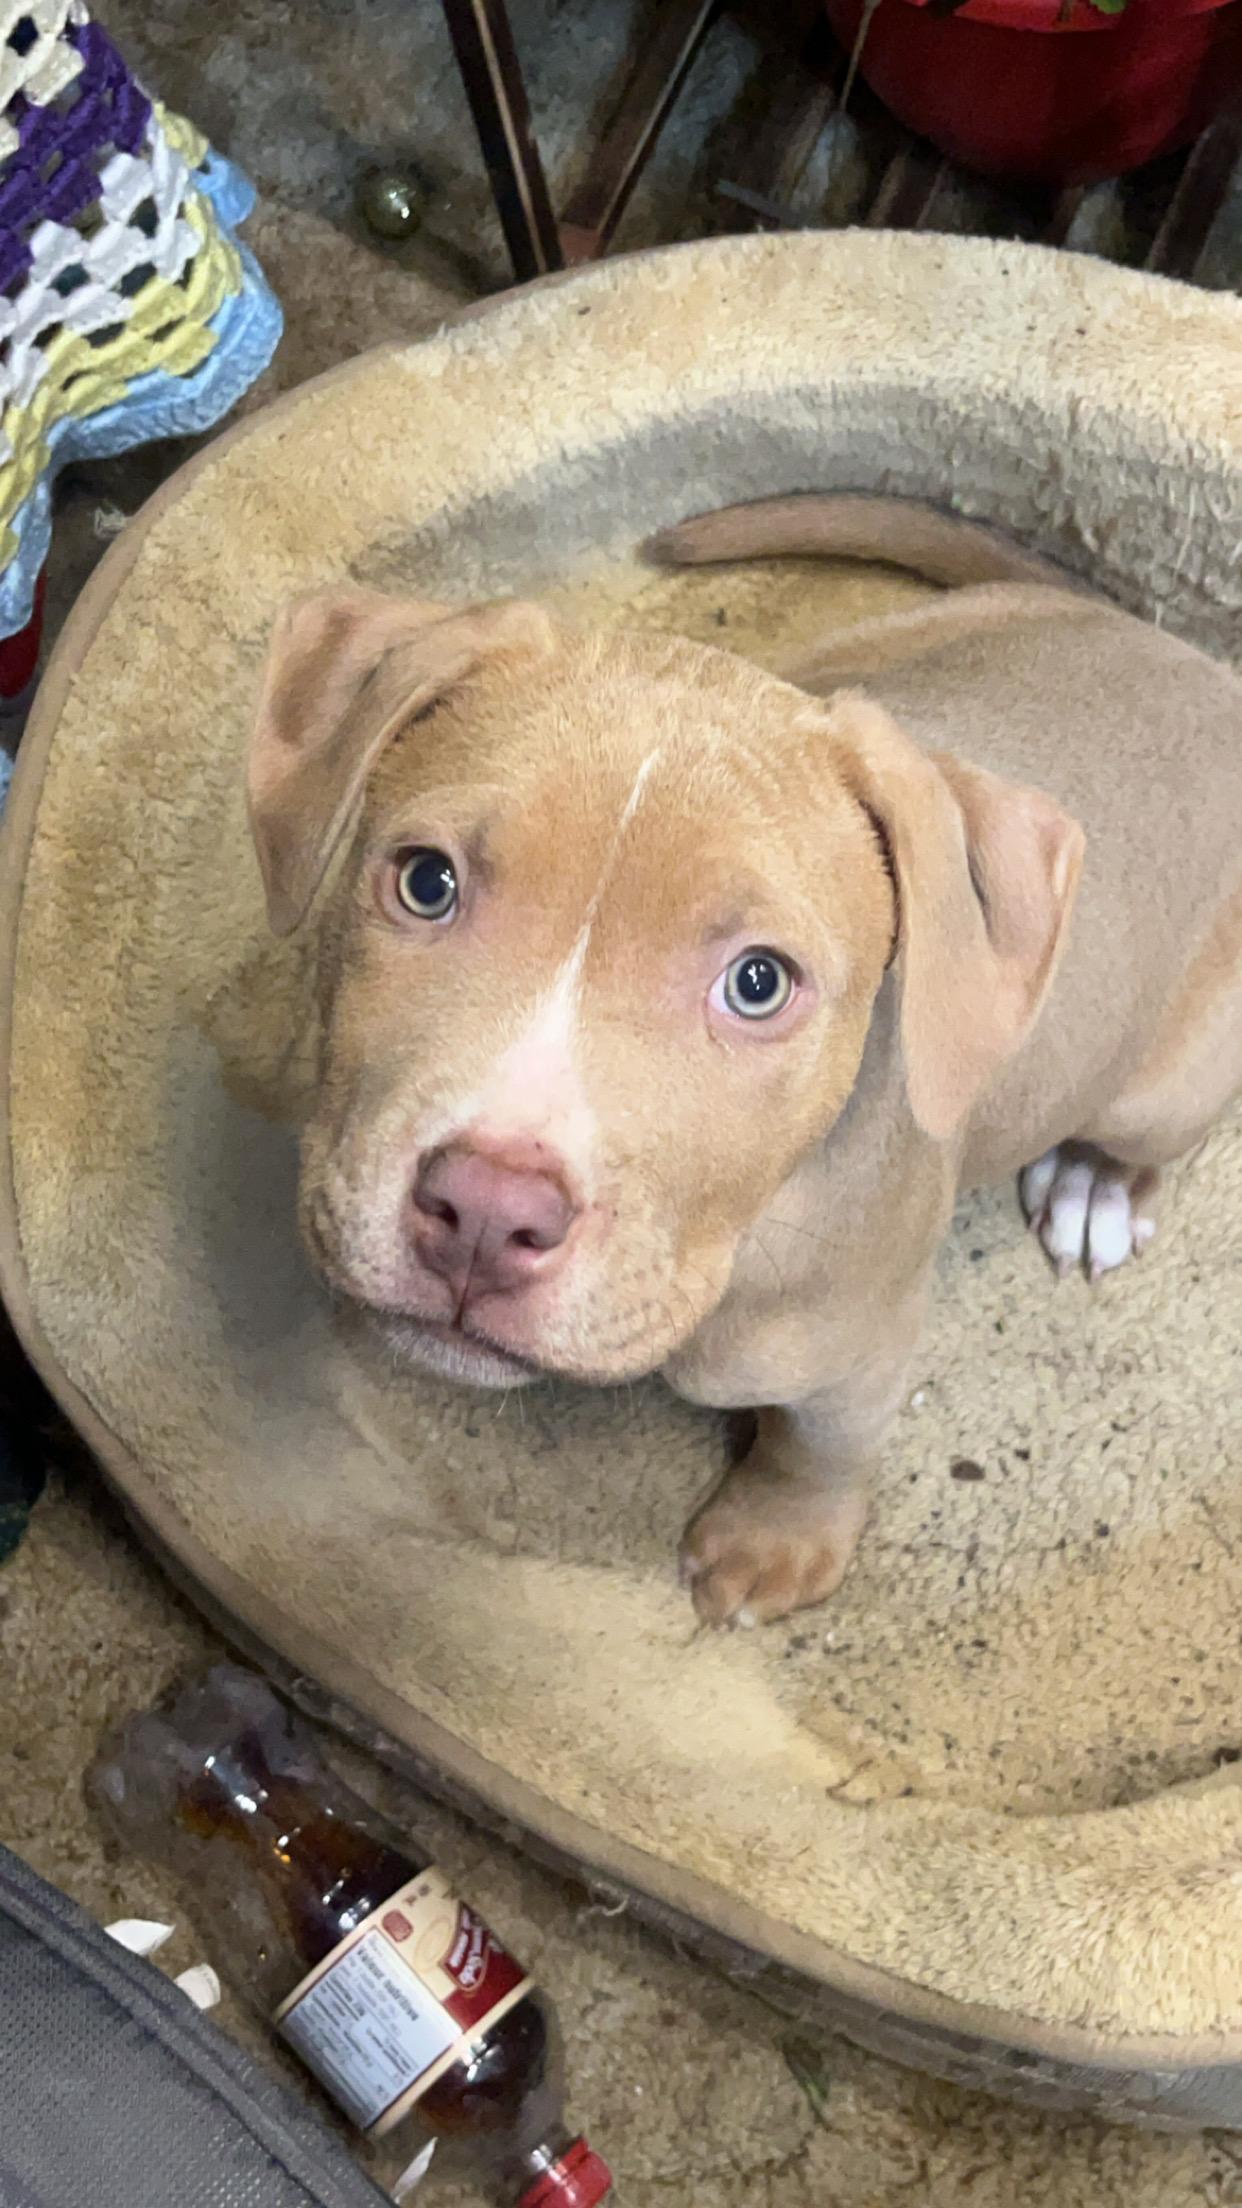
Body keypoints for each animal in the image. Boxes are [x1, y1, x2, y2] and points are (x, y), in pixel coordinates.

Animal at [248, 505, 1237, 1642]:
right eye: (425, 882)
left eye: (758, 983)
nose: (488, 1215)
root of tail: (1183, 656)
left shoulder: (858, 1342)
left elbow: (823, 1440)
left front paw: (777, 1544)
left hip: (1167, 1083)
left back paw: (1096, 1187)